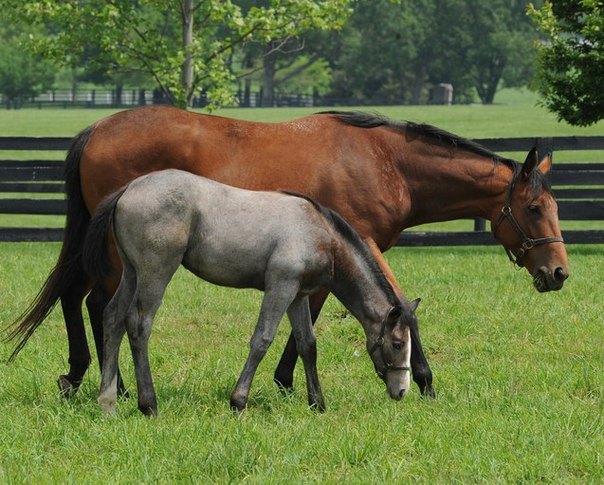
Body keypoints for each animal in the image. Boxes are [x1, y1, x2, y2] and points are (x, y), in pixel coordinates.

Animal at [82, 168, 418, 414]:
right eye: (398, 343)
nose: (402, 389)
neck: (318, 233)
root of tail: (129, 189)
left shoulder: (298, 295)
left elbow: (307, 344)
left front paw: (317, 403)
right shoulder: (280, 287)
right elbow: (262, 340)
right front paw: (238, 401)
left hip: (132, 272)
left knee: (113, 318)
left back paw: (108, 403)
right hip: (156, 272)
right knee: (139, 324)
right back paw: (148, 404)